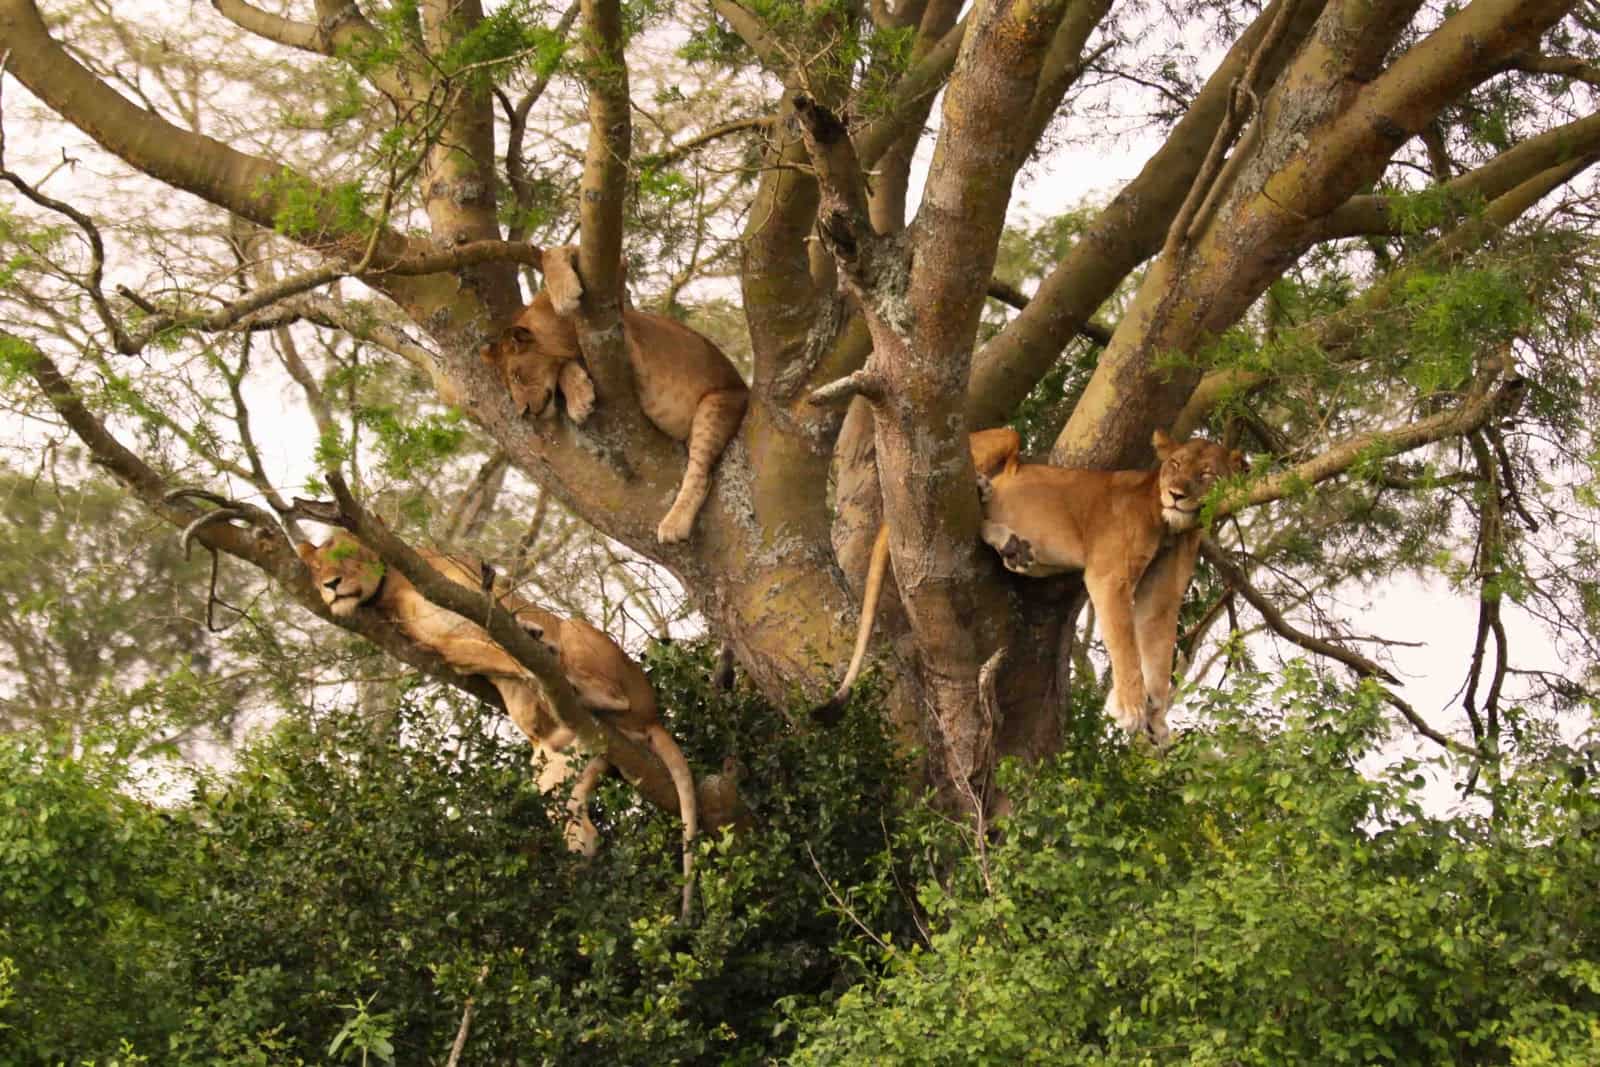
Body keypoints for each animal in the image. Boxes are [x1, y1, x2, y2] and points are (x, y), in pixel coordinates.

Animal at [297, 534, 697, 921]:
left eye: (347, 555)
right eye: (316, 569)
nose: (330, 585)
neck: (391, 585)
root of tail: (653, 716)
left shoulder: (477, 598)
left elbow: (506, 635)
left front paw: (532, 641)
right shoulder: (444, 647)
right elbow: (494, 656)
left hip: (582, 636)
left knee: (611, 691)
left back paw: (571, 679)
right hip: (559, 776)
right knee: (579, 823)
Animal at [480, 241, 748, 543]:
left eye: (517, 375)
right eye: (508, 384)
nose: (523, 412)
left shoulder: (619, 318)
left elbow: (557, 252)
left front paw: (564, 293)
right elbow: (563, 367)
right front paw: (579, 398)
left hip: (716, 404)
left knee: (701, 473)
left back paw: (674, 524)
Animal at [972, 428, 1248, 748]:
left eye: (1206, 474)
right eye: (1176, 464)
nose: (1176, 495)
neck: (1171, 529)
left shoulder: (1162, 595)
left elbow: (1160, 652)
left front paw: (1156, 719)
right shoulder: (1110, 577)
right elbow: (1125, 642)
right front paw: (1131, 707)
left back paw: (1012, 545)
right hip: (1009, 436)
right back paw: (986, 495)